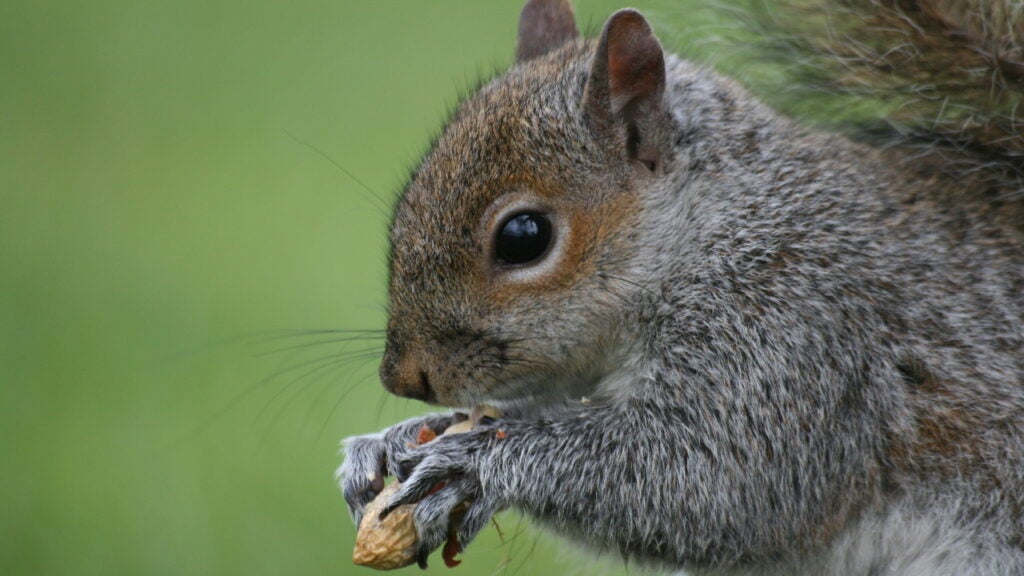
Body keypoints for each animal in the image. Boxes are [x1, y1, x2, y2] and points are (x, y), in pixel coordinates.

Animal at [337, 1, 1024, 569]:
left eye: (524, 237)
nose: (403, 378)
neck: (709, 227)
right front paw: (394, 441)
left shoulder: (798, 327)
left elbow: (712, 483)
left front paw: (473, 464)